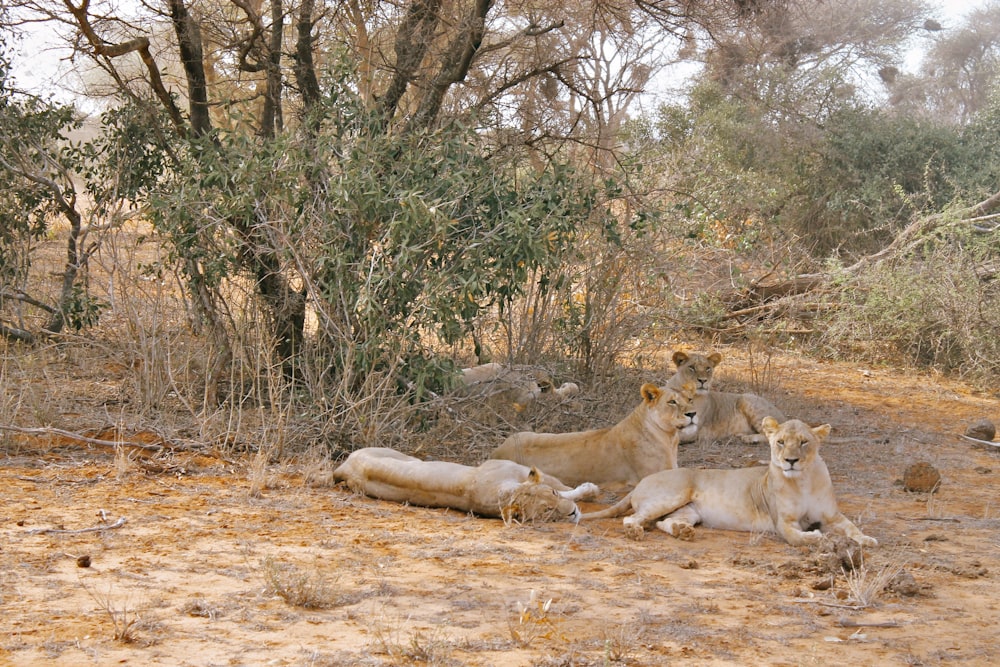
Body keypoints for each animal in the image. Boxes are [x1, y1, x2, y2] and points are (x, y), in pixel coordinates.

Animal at [336, 446, 600, 524]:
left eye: (552, 495)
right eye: (546, 511)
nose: (573, 514)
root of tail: (345, 466)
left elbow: (563, 488)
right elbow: (570, 490)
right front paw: (589, 490)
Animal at [490, 380, 696, 490]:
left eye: (689, 399)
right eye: (672, 402)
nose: (693, 413)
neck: (670, 439)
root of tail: (497, 451)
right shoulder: (655, 476)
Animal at [584, 418, 880, 548]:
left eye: (804, 442)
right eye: (780, 441)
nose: (790, 461)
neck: (803, 480)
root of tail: (641, 482)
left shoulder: (832, 516)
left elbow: (852, 528)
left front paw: (867, 539)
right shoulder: (783, 523)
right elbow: (798, 537)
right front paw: (815, 537)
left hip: (689, 511)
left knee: (662, 523)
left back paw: (683, 532)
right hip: (673, 493)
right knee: (633, 518)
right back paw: (636, 531)